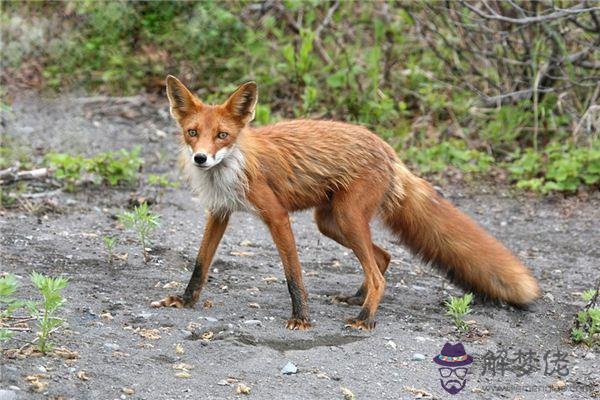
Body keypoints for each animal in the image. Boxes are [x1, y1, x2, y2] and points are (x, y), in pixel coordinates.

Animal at [152, 76, 540, 332]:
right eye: (192, 133)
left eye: (222, 135)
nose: (201, 158)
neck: (232, 167)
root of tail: (388, 150)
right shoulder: (219, 212)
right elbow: (200, 265)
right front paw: (186, 301)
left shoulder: (276, 216)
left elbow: (293, 274)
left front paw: (301, 318)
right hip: (331, 222)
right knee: (383, 258)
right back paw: (358, 299)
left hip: (348, 217)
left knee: (378, 272)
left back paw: (365, 318)